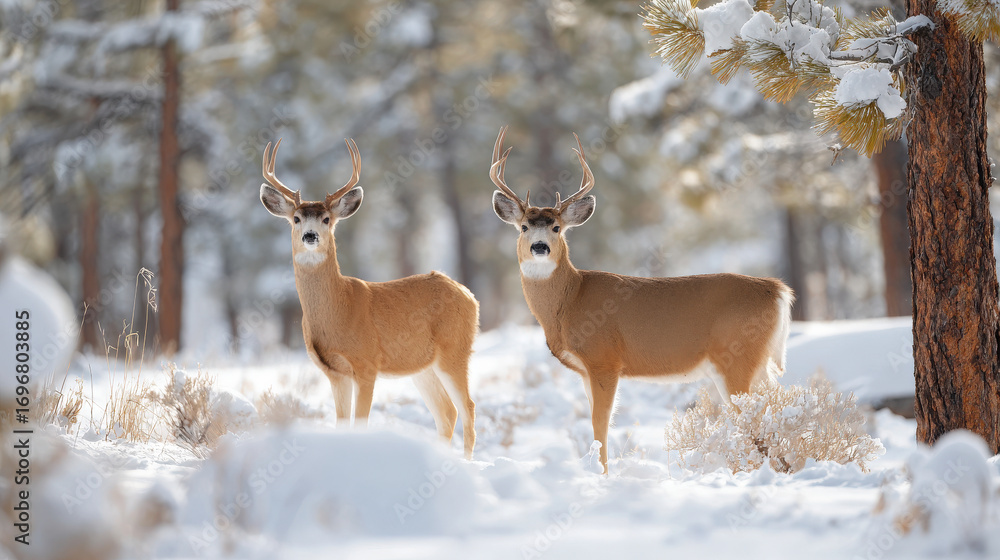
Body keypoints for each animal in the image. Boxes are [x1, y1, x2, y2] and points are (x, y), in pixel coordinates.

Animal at [259, 138, 478, 459]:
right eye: (296, 218)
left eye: (326, 218)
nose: (310, 236)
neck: (337, 312)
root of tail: (469, 295)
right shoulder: (335, 373)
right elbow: (341, 424)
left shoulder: (367, 363)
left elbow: (360, 422)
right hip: (423, 367)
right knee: (447, 413)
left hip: (455, 350)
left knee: (468, 408)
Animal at [488, 126, 794, 474]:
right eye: (524, 226)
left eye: (556, 227)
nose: (539, 247)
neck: (569, 301)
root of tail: (777, 290)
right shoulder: (585, 370)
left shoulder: (604, 359)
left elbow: (600, 423)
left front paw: (602, 473)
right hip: (758, 363)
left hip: (738, 358)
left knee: (758, 417)